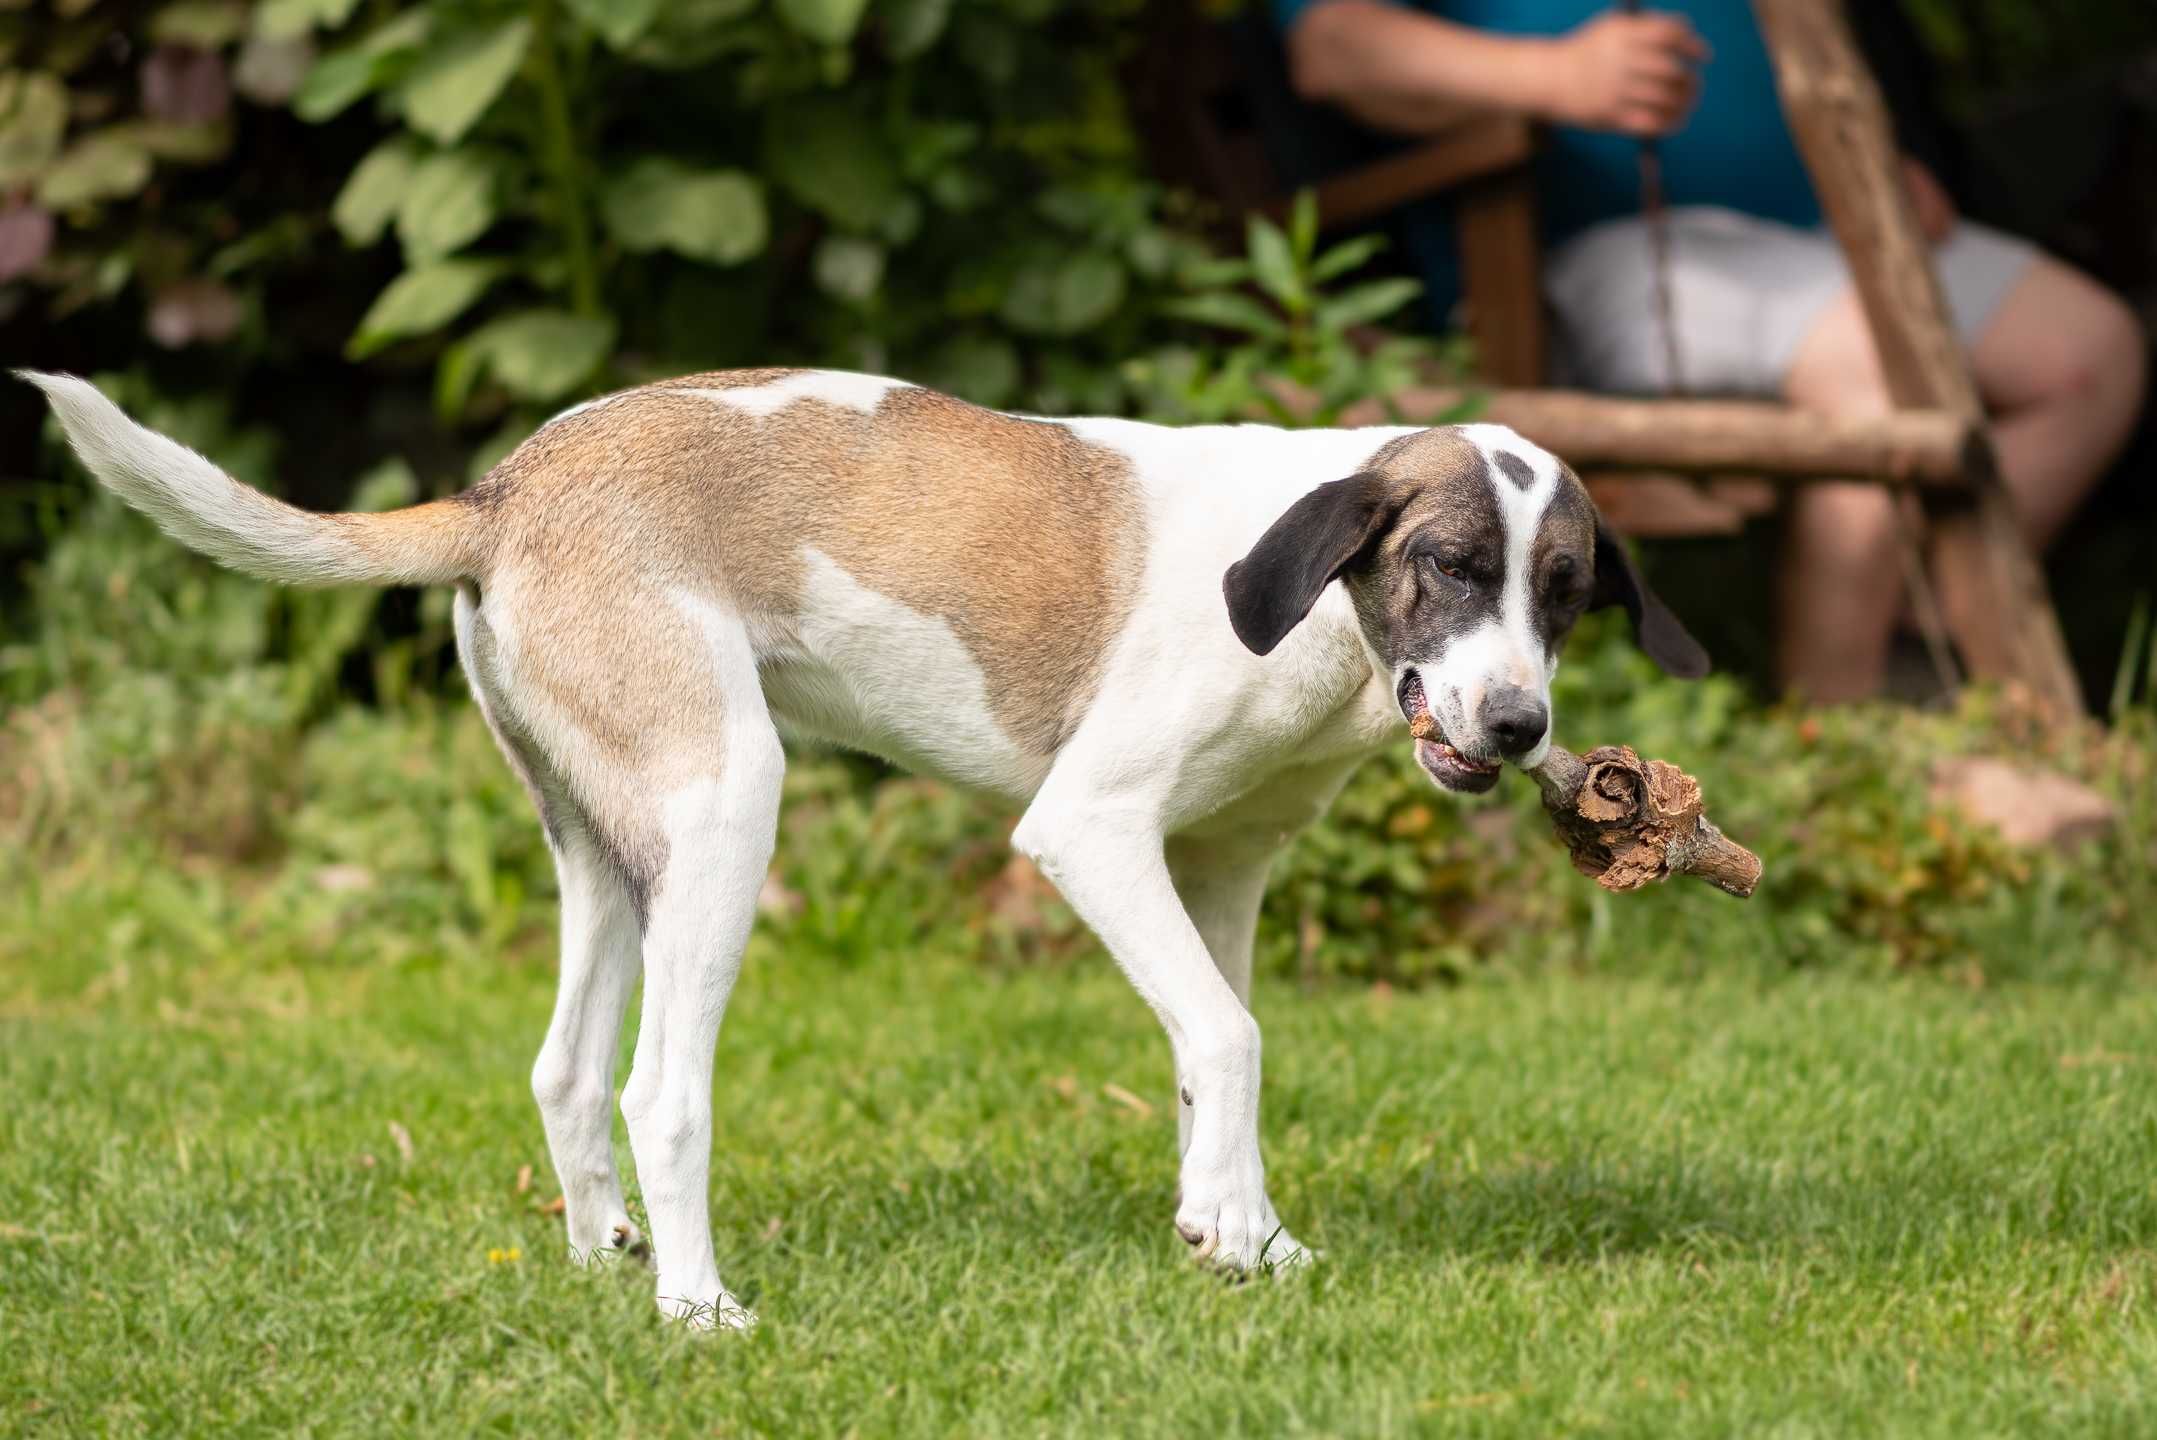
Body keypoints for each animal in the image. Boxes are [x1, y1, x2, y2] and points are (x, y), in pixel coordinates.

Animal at [16, 368, 1699, 1327]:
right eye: (1447, 567)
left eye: (1563, 595)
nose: (1518, 729)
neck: (1313, 611)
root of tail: (504, 489)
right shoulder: (1091, 833)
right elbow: (1230, 1039)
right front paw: (1234, 1241)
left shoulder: (1217, 874)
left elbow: (1208, 1052)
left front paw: (1238, 1227)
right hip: (723, 812)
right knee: (655, 1088)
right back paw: (698, 1307)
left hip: (607, 847)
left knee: (564, 1070)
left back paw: (606, 1266)